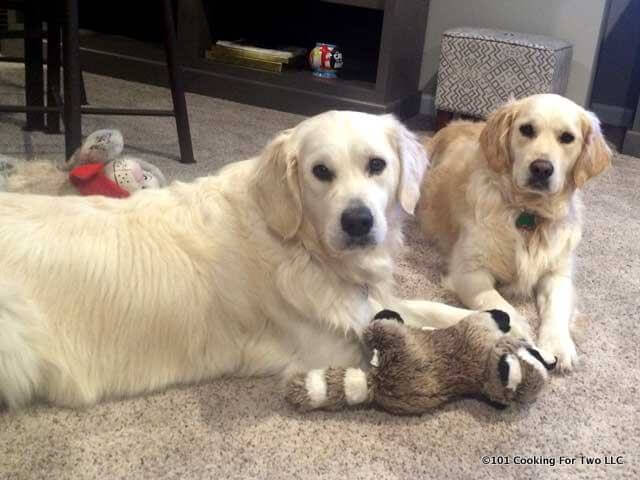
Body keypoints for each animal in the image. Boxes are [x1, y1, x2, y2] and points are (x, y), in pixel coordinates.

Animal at [0, 111, 470, 408]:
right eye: (320, 171)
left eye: (376, 165)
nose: (358, 221)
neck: (301, 247)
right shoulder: (329, 344)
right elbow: (430, 337)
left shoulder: (366, 304)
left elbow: (434, 309)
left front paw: (487, 317)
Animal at [418, 94, 612, 372]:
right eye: (527, 129)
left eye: (567, 137)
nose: (541, 168)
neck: (529, 212)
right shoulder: (469, 272)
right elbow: (500, 305)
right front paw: (520, 332)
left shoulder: (558, 274)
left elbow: (557, 308)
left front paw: (559, 345)